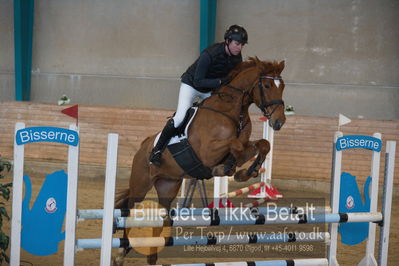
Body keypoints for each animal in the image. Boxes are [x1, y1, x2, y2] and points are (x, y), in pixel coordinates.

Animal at [114, 57, 286, 264]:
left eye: (282, 86)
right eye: (267, 85)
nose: (279, 121)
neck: (232, 110)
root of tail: (142, 147)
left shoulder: (244, 144)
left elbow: (262, 145)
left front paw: (246, 171)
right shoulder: (207, 152)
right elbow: (235, 145)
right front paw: (228, 169)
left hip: (168, 186)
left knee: (162, 215)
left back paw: (151, 255)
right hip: (141, 184)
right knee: (129, 212)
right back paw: (121, 252)